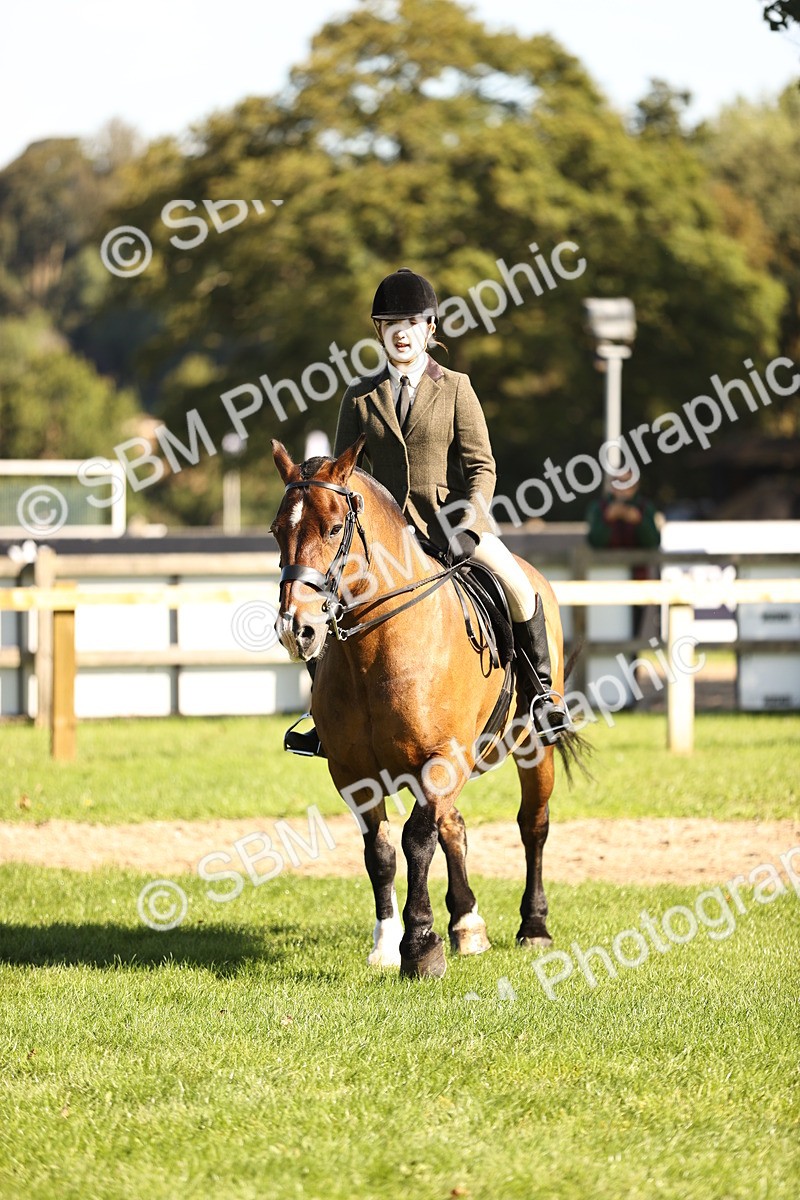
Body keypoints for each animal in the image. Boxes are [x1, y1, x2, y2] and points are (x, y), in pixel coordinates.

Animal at [270, 435, 584, 978]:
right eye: (275, 531)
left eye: (334, 527)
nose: (297, 628)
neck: (375, 648)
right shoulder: (354, 773)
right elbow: (380, 852)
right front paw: (385, 944)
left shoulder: (440, 759)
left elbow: (417, 839)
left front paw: (418, 946)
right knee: (452, 826)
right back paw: (466, 923)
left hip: (532, 747)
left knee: (533, 825)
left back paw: (534, 926)